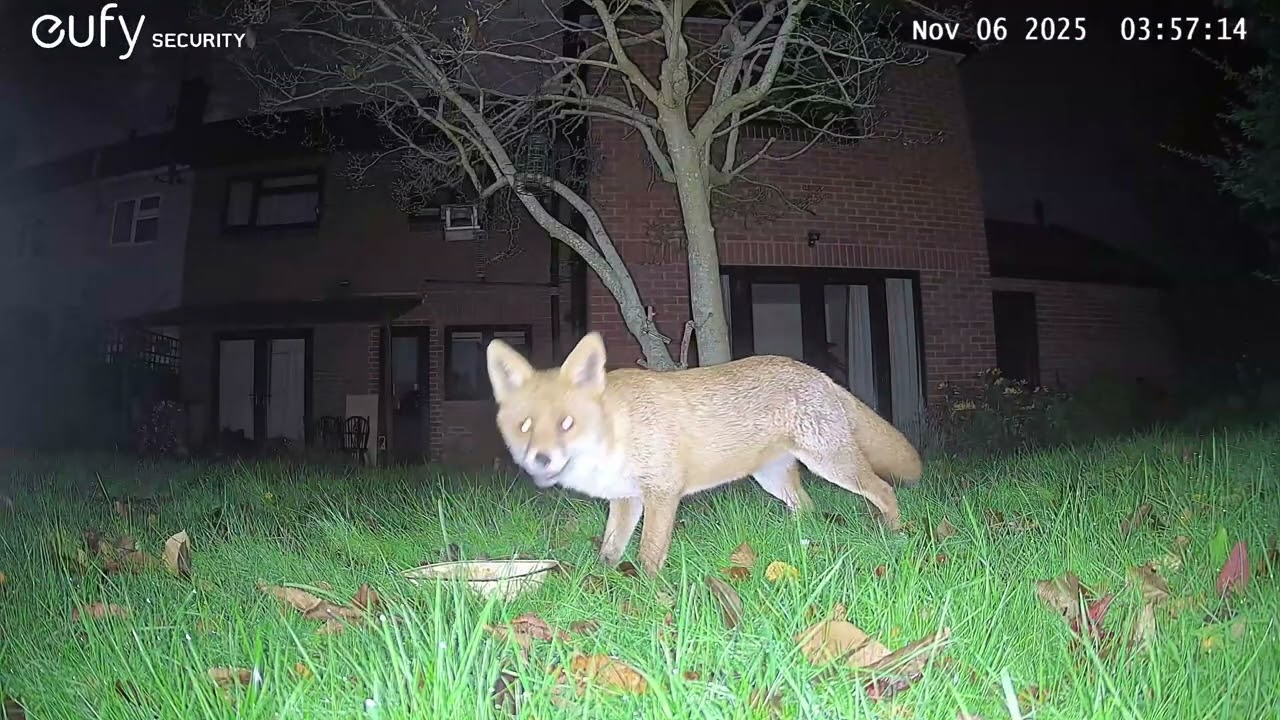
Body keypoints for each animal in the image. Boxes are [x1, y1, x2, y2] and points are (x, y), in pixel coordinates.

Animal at [485, 331, 923, 577]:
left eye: (567, 424)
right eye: (525, 426)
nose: (541, 459)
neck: (618, 432)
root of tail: (819, 374)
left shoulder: (662, 492)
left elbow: (649, 553)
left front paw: (645, 594)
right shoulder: (626, 499)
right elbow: (610, 551)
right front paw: (598, 585)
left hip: (834, 465)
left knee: (883, 490)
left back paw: (895, 534)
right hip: (774, 479)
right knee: (807, 508)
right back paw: (798, 541)